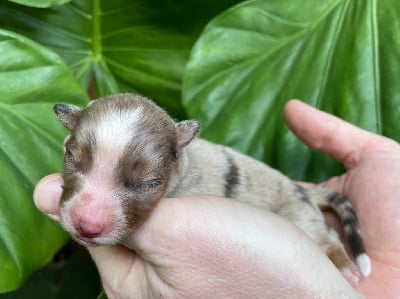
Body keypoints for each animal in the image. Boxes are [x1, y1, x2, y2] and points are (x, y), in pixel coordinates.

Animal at [54, 95, 372, 284]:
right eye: (72, 158)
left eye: (148, 183)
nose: (87, 226)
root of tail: (303, 191)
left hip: (299, 216)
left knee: (329, 240)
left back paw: (345, 268)